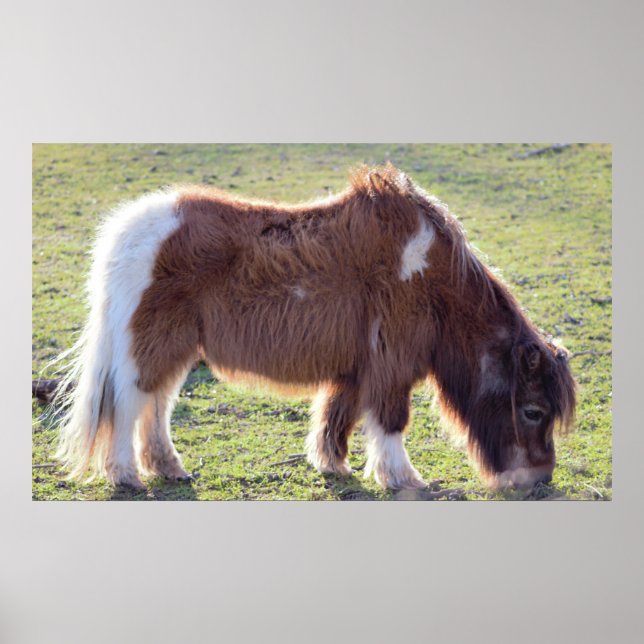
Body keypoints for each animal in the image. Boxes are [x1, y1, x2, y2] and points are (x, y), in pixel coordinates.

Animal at [54, 163, 576, 492]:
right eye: (532, 411)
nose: (539, 480)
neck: (430, 277)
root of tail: (127, 233)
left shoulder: (354, 369)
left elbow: (335, 417)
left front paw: (334, 466)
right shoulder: (390, 368)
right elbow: (390, 421)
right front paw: (404, 479)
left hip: (176, 348)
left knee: (156, 406)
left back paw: (170, 469)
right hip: (152, 346)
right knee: (128, 404)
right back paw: (126, 476)